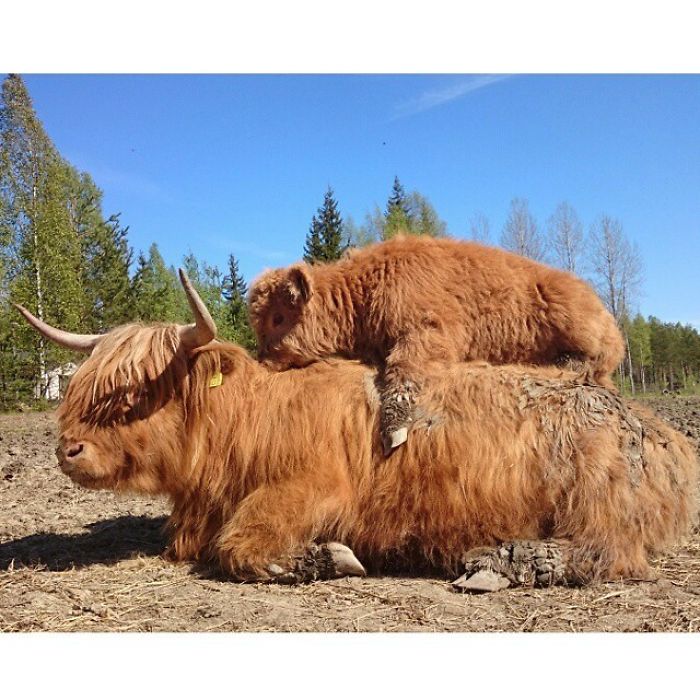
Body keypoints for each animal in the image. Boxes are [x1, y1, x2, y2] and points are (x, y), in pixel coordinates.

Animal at [14, 270, 695, 590]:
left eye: (133, 392)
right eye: (84, 387)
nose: (67, 450)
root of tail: (663, 431)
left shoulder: (314, 488)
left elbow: (239, 546)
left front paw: (323, 558)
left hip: (597, 497)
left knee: (603, 552)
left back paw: (499, 560)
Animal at [248, 235, 625, 453]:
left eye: (278, 317)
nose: (261, 358)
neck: (367, 286)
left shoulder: (430, 329)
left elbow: (405, 370)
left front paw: (393, 430)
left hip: (572, 314)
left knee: (600, 361)